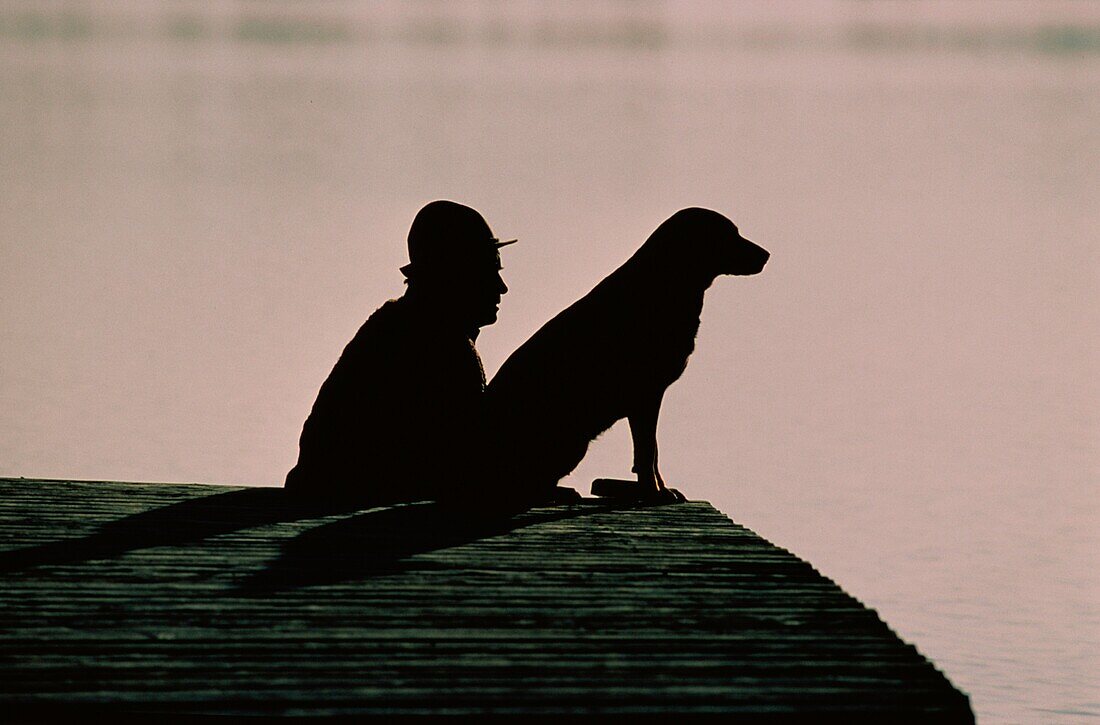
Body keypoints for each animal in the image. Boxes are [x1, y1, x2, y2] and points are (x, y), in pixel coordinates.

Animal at [486, 207, 770, 503]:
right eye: (730, 234)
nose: (767, 255)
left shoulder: (648, 398)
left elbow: (652, 452)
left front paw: (659, 489)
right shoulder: (646, 395)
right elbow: (647, 452)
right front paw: (654, 492)